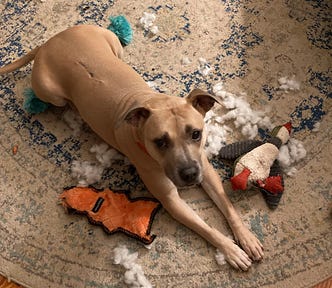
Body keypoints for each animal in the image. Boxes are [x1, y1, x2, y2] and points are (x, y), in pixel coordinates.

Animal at [0, 24, 264, 270]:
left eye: (196, 134)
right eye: (160, 142)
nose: (189, 174)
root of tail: (49, 42)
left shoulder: (206, 170)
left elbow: (228, 206)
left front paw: (247, 238)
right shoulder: (171, 201)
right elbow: (206, 228)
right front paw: (231, 250)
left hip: (110, 42)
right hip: (50, 93)